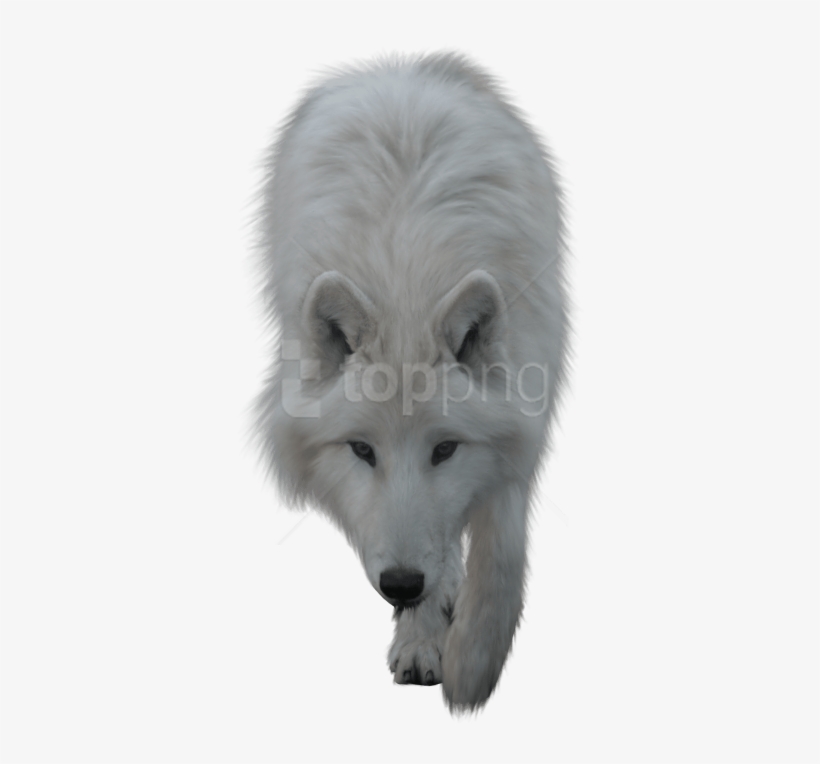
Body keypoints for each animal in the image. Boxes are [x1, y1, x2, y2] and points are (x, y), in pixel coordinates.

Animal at [254, 53, 569, 711]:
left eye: (445, 448)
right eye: (361, 450)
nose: (400, 585)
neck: (407, 285)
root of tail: (397, 67)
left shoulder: (523, 414)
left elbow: (500, 548)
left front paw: (473, 665)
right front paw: (425, 635)